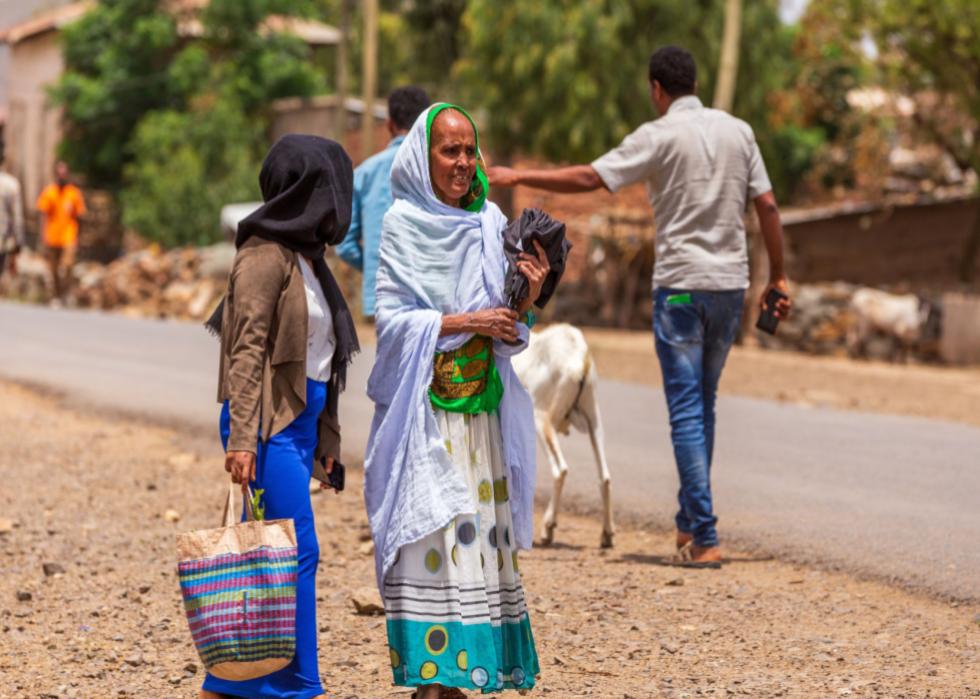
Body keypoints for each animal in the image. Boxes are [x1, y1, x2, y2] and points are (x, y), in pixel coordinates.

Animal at [512, 326, 612, 548]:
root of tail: (579, 361)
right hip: (594, 417)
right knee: (605, 476)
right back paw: (607, 536)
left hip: (541, 420)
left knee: (560, 470)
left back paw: (548, 529)